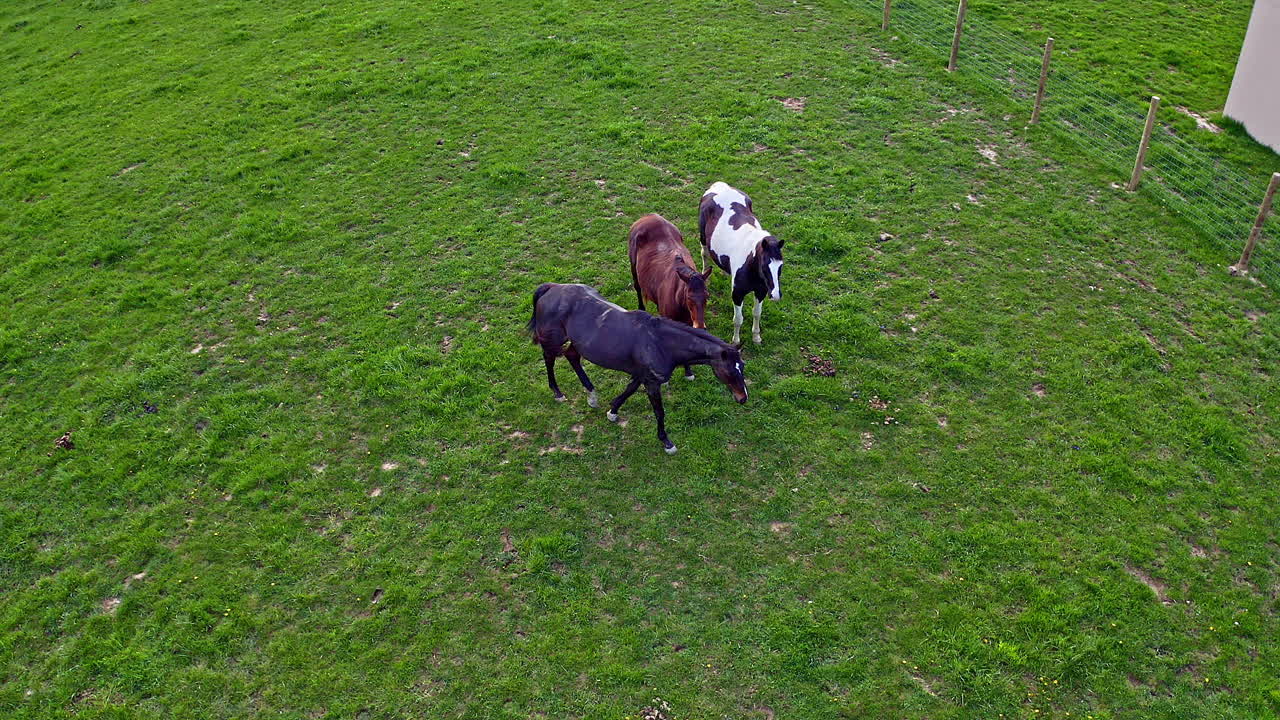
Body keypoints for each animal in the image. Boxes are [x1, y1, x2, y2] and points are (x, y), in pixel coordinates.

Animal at [526, 282, 747, 454]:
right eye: (730, 370)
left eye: (742, 367)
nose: (743, 398)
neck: (660, 342)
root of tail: (552, 288)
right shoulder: (651, 383)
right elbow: (659, 412)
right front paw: (666, 442)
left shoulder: (641, 375)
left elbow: (628, 391)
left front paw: (612, 411)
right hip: (553, 339)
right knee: (549, 359)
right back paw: (557, 392)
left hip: (577, 343)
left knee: (572, 356)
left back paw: (591, 394)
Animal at [627, 213, 713, 380]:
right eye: (689, 297)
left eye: (706, 296)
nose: (700, 326)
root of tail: (648, 216)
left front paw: (688, 373)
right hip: (633, 267)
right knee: (638, 287)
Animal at [698, 181, 785, 344]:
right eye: (764, 266)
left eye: (780, 266)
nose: (775, 295)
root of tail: (719, 185)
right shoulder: (737, 294)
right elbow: (738, 319)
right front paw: (736, 341)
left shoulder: (761, 291)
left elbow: (757, 313)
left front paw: (756, 337)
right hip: (703, 239)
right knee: (704, 255)